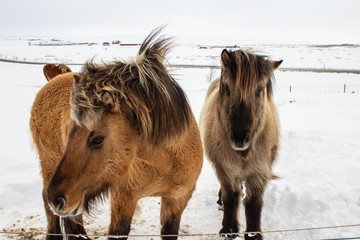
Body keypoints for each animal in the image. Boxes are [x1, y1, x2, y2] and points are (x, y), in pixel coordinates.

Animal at [29, 28, 204, 240]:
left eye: (98, 139)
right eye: (68, 131)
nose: (57, 199)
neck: (167, 163)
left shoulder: (176, 201)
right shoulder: (123, 200)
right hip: (49, 165)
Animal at [200, 49, 282, 240]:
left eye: (259, 90)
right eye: (227, 87)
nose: (239, 137)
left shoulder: (259, 171)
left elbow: (253, 204)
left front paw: (253, 234)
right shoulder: (225, 169)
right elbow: (231, 198)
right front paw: (228, 230)